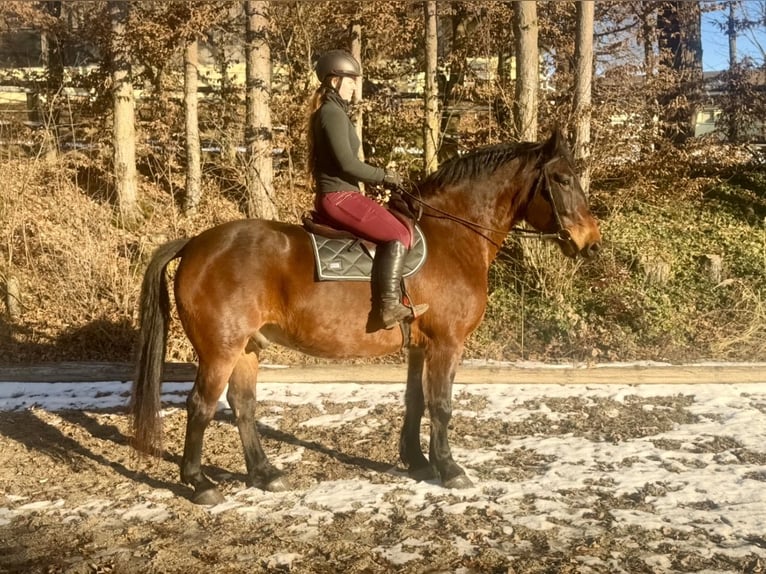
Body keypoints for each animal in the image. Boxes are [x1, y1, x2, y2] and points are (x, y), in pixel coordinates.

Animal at [130, 129, 602, 505]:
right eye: (562, 179)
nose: (590, 241)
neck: (453, 235)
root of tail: (195, 243)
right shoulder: (447, 343)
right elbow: (441, 405)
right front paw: (449, 469)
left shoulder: (420, 346)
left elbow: (415, 400)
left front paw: (416, 461)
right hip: (220, 349)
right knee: (201, 407)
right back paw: (200, 483)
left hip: (247, 347)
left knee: (243, 405)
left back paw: (265, 474)